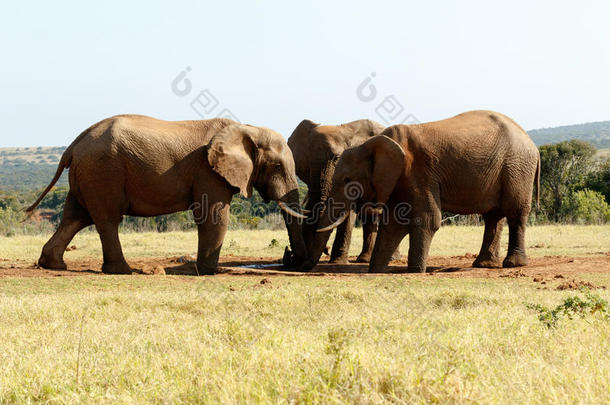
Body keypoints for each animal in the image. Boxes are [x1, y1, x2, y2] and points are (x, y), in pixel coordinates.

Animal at [26, 115, 306, 276]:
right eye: (277, 167)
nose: (292, 261)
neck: (248, 129)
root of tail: (73, 145)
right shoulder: (207, 171)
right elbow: (213, 215)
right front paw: (208, 272)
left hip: (88, 175)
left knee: (74, 217)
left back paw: (54, 265)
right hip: (103, 171)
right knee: (107, 219)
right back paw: (123, 271)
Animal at [288, 118, 402, 264]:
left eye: (336, 158)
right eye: (307, 162)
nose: (326, 249)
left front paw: (337, 261)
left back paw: (388, 259)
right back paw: (365, 259)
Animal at [306, 109, 540, 272]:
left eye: (348, 180)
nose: (304, 267)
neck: (373, 144)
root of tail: (533, 144)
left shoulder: (419, 172)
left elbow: (427, 219)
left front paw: (415, 271)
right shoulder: (399, 179)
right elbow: (393, 224)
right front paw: (377, 270)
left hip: (517, 167)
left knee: (515, 213)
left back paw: (513, 264)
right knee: (493, 216)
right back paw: (484, 265)